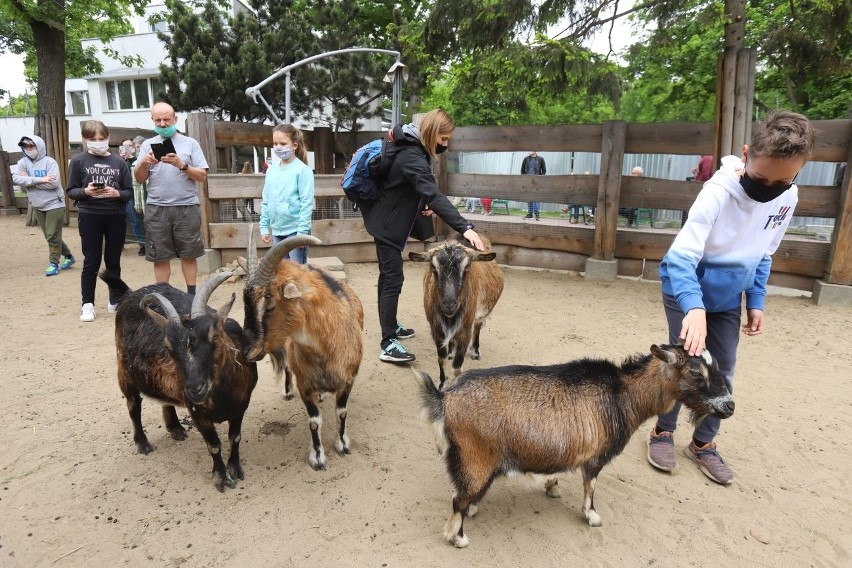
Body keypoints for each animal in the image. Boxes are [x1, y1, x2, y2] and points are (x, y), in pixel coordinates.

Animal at [99, 270, 256, 492]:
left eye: (215, 335)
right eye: (168, 346)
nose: (195, 389)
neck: (221, 397)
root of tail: (129, 295)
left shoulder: (240, 406)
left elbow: (235, 438)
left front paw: (235, 469)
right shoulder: (197, 413)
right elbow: (214, 445)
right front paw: (221, 477)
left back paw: (175, 428)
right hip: (125, 374)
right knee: (133, 408)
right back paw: (143, 444)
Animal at [241, 233, 364, 468]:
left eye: (269, 301)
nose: (246, 351)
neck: (326, 349)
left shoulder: (349, 380)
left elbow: (342, 413)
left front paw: (343, 444)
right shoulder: (305, 385)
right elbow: (314, 421)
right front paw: (317, 457)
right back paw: (288, 392)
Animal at [410, 233, 502, 388]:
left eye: (467, 267)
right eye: (433, 268)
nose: (449, 304)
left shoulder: (465, 330)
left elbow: (457, 368)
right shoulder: (436, 330)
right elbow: (441, 360)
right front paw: (442, 384)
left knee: (478, 326)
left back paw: (475, 351)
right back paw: (451, 352)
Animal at [412, 344, 732, 548]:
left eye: (715, 365)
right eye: (695, 372)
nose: (729, 406)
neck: (623, 393)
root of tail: (444, 400)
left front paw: (552, 486)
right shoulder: (596, 457)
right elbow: (590, 486)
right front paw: (592, 516)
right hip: (476, 457)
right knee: (458, 500)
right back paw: (458, 538)